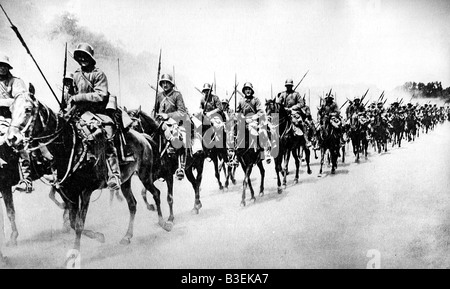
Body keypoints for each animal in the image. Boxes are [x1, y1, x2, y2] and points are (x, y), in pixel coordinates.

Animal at [6, 93, 165, 264]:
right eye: (11, 109)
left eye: (28, 109)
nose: (11, 138)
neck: (68, 144)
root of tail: (143, 137)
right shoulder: (68, 192)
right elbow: (73, 221)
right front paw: (98, 236)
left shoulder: (85, 191)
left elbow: (79, 223)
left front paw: (75, 253)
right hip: (125, 181)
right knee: (132, 204)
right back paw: (127, 236)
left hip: (144, 175)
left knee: (156, 193)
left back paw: (164, 223)